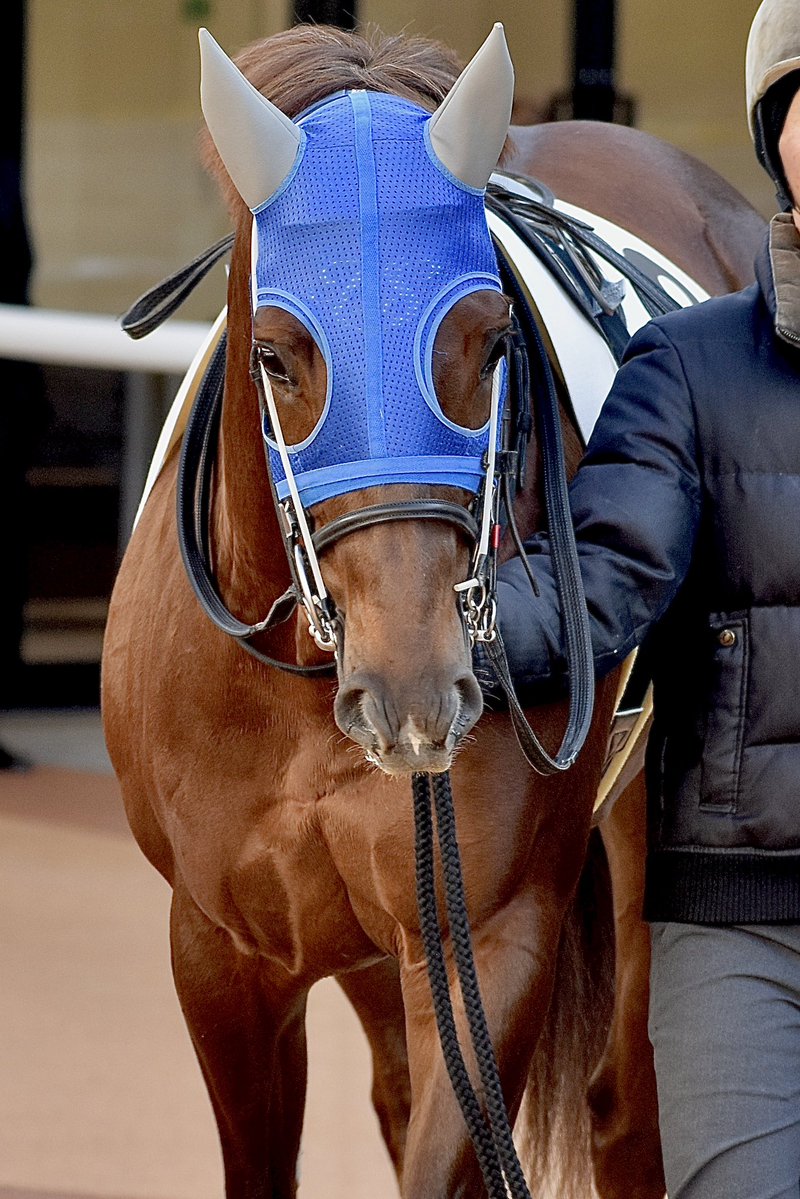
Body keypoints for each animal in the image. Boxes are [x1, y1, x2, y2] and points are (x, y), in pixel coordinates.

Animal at [102, 23, 766, 1199]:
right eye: (275, 352)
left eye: (492, 337)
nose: (413, 691)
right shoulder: (219, 951)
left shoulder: (486, 938)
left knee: (627, 1111)